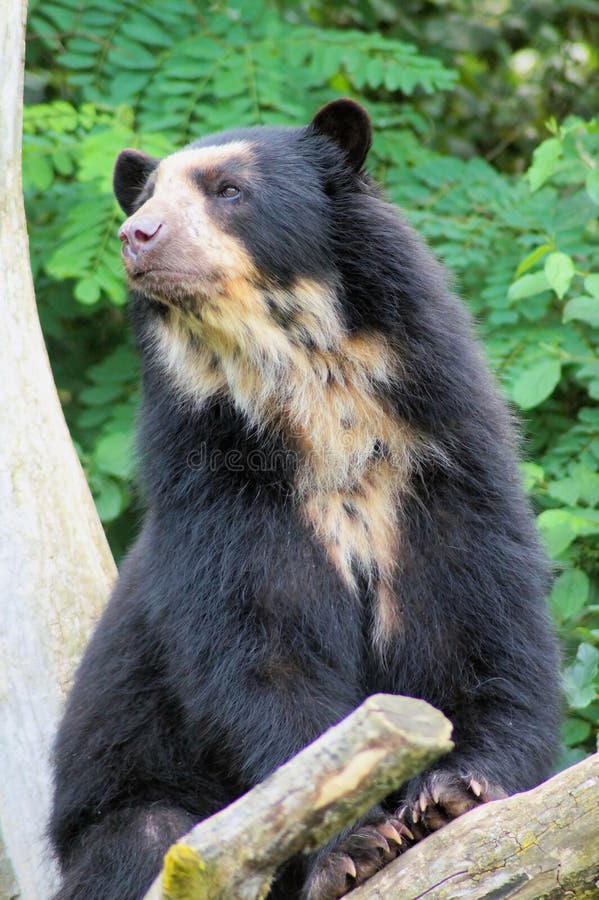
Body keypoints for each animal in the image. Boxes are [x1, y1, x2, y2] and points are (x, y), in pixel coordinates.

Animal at [49, 100, 560, 900]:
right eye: (146, 197)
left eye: (228, 190)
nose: (137, 236)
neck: (314, 404)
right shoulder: (222, 492)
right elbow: (263, 655)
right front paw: (351, 846)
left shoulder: (440, 465)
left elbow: (479, 617)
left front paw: (457, 791)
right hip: (123, 814)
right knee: (146, 839)